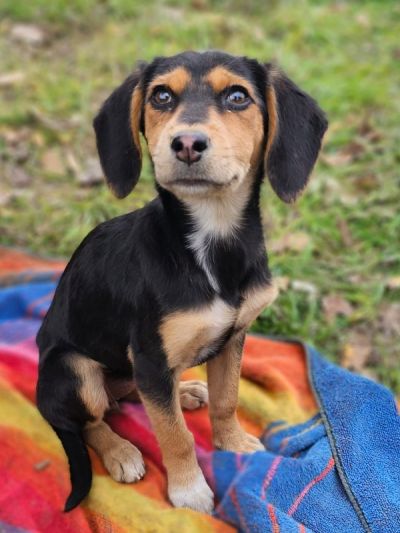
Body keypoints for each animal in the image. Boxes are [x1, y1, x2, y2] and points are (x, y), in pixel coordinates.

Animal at [36, 50, 327, 513]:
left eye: (238, 96)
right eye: (161, 96)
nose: (187, 143)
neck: (212, 240)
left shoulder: (233, 337)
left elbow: (226, 400)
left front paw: (233, 442)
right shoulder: (150, 356)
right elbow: (175, 435)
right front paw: (189, 490)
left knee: (130, 396)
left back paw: (185, 392)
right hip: (74, 367)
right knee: (92, 420)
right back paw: (121, 452)